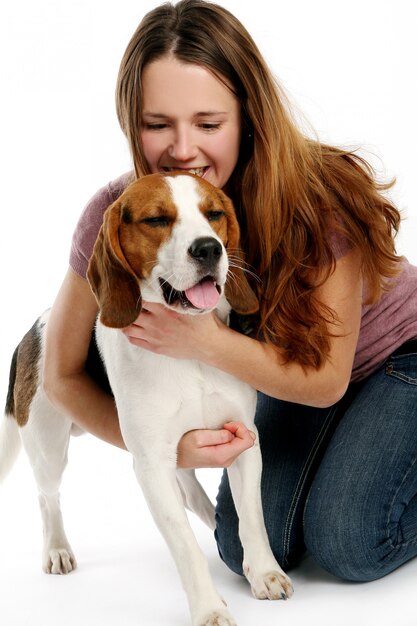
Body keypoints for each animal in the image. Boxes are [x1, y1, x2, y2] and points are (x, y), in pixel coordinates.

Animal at [0, 172, 292, 624]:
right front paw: (209, 608)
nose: (209, 248)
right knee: (47, 496)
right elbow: (184, 546)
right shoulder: (151, 465)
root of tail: (32, 328)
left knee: (190, 489)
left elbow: (252, 518)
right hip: (48, 448)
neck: (190, 351)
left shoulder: (244, 440)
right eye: (156, 220)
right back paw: (57, 548)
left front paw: (264, 572)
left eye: (214, 214)